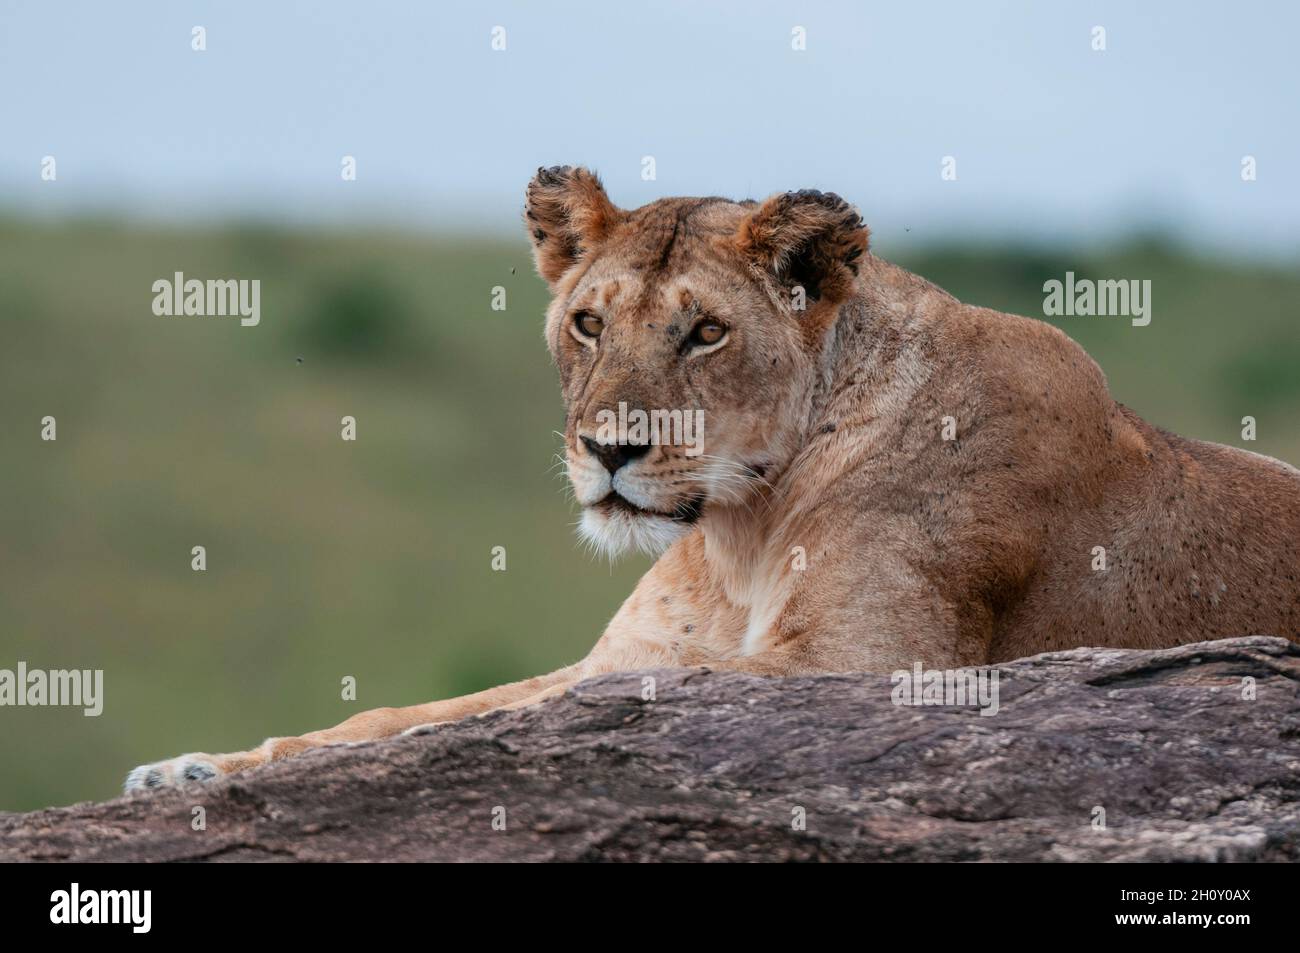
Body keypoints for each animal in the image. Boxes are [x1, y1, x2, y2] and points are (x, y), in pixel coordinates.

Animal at [126, 166, 1300, 790]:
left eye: (705, 332)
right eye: (588, 321)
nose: (608, 449)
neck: (740, 524)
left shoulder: (874, 662)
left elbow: (504, 717)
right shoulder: (633, 653)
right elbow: (423, 711)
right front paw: (202, 769)